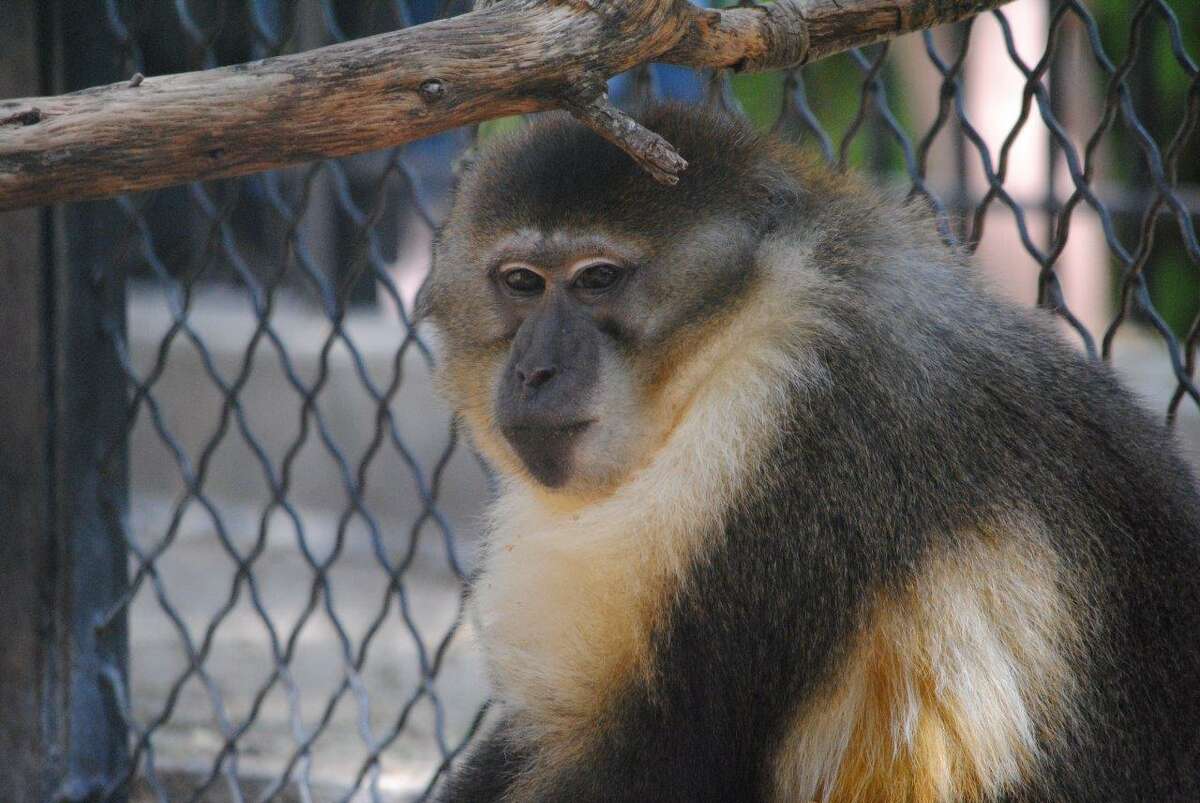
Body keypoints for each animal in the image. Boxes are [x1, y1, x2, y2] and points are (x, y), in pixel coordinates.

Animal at [415, 103, 1200, 802]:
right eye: (522, 282)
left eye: (597, 279)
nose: (536, 371)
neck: (730, 340)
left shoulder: (780, 434)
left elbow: (669, 752)